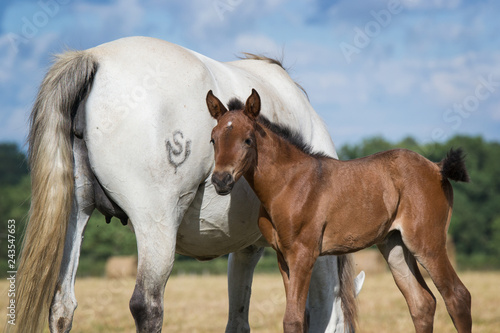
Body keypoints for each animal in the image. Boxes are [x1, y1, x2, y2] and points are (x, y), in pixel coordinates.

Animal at [12, 37, 364, 332]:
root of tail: (93, 57)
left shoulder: (246, 248)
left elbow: (238, 320)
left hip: (77, 214)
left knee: (62, 306)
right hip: (156, 224)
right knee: (147, 306)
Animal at [207, 89, 472, 332]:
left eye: (248, 140)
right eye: (213, 140)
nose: (221, 180)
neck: (288, 183)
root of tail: (437, 168)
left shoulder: (303, 253)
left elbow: (293, 319)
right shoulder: (283, 256)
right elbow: (297, 318)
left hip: (427, 242)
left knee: (457, 296)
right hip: (395, 245)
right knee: (422, 303)